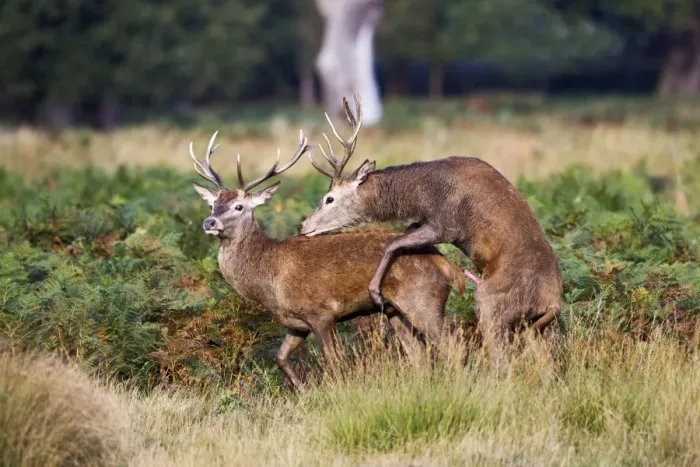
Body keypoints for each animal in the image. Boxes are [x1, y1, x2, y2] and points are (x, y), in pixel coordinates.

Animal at [189, 130, 466, 392]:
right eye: (213, 204)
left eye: (238, 206)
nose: (209, 222)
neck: (268, 279)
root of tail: (447, 264)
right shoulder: (296, 323)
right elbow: (280, 357)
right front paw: (303, 392)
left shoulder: (321, 312)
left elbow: (333, 362)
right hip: (395, 310)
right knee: (418, 355)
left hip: (422, 299)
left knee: (452, 347)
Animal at [298, 95, 563, 367]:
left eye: (329, 198)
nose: (303, 225)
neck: (419, 195)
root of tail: (553, 303)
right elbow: (406, 232)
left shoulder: (446, 223)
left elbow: (393, 243)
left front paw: (375, 291)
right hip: (533, 325)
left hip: (492, 303)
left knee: (501, 355)